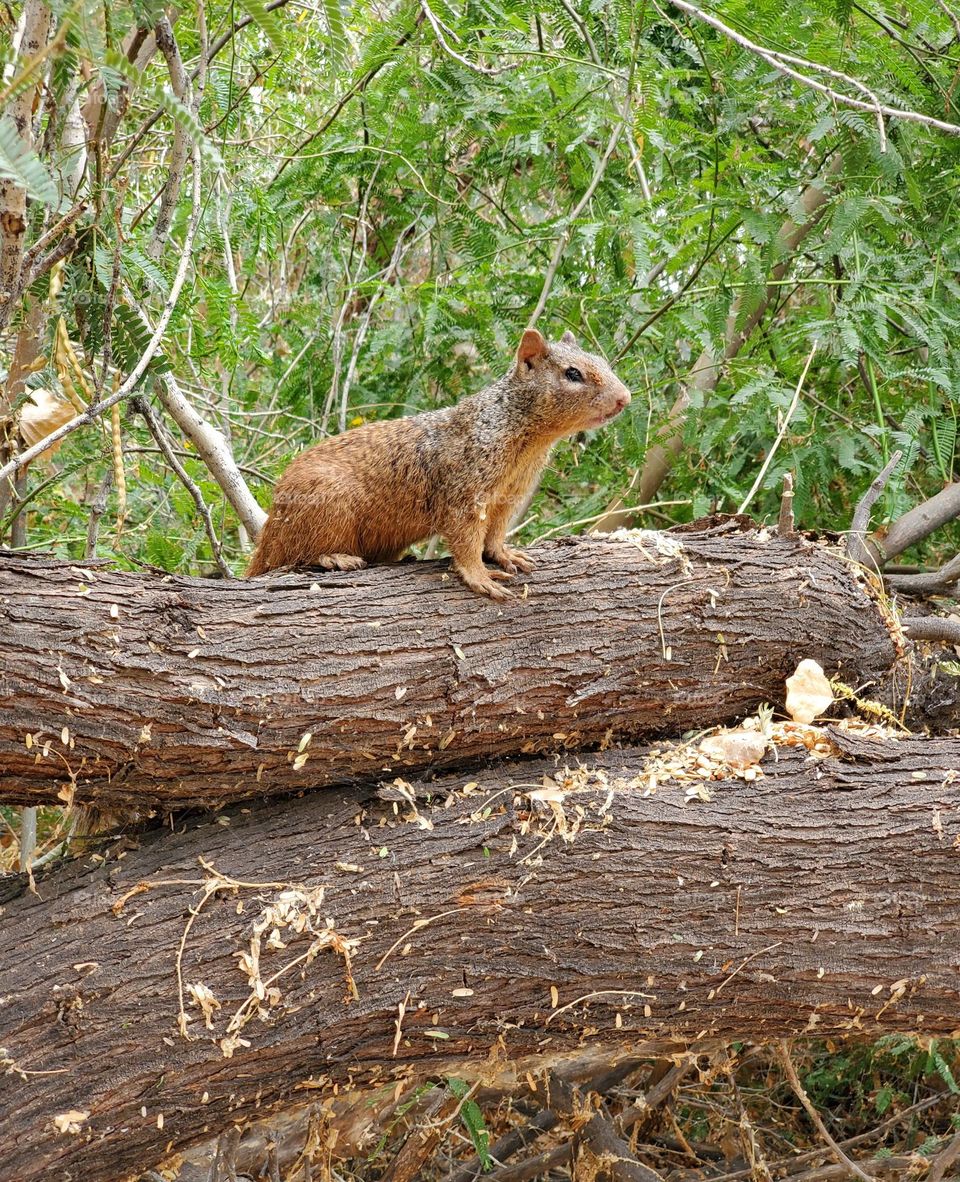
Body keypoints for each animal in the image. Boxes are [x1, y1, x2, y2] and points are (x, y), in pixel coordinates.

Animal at [246, 328, 631, 599]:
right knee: (296, 555)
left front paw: (506, 555)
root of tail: (271, 529)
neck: (527, 445)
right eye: (572, 374)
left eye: (603, 361)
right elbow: (466, 541)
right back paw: (335, 558)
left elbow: (494, 535)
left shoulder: (507, 498)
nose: (625, 398)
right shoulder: (463, 492)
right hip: (327, 507)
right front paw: (481, 577)